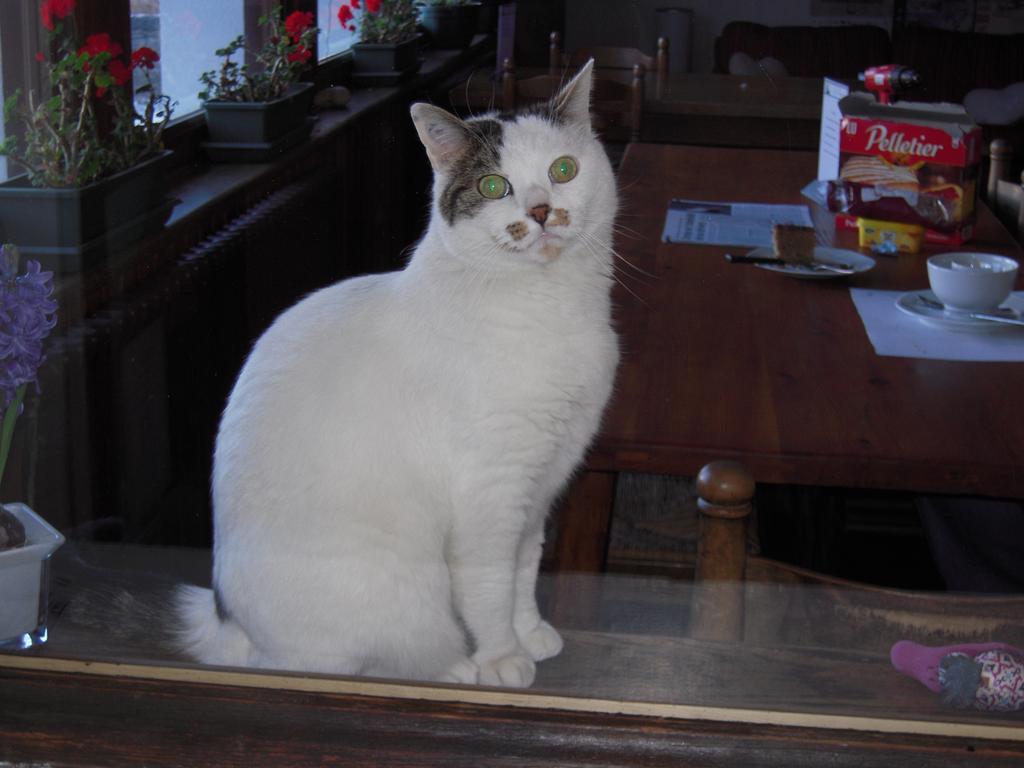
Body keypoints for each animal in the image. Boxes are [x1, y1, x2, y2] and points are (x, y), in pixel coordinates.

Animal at [173, 58, 618, 684]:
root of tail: (231, 631)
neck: (551, 306)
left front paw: (530, 634)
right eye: (493, 186)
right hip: (394, 591)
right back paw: (453, 669)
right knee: (350, 664)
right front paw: (503, 657)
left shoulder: (539, 486)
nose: (539, 210)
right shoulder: (491, 495)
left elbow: (524, 572)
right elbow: (490, 587)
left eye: (564, 170)